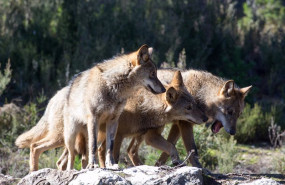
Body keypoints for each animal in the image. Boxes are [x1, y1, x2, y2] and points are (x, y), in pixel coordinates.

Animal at [15, 44, 165, 171]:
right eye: (153, 74)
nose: (164, 89)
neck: (112, 87)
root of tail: (55, 97)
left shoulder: (113, 121)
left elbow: (110, 147)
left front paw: (111, 165)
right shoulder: (94, 118)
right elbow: (93, 146)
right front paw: (93, 165)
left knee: (67, 158)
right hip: (67, 136)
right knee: (41, 148)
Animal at [57, 70, 207, 168]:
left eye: (194, 104)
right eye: (188, 107)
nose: (205, 118)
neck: (144, 107)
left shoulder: (149, 136)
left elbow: (170, 146)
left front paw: (176, 161)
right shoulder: (120, 136)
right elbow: (115, 156)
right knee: (67, 159)